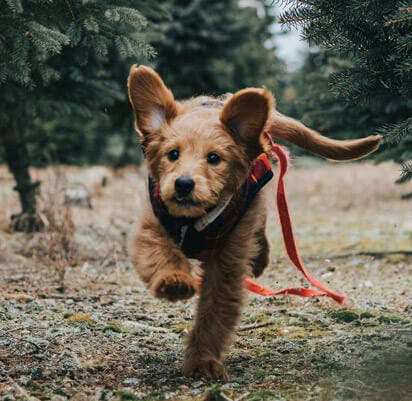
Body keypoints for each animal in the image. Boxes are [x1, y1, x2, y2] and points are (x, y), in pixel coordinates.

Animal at [127, 65, 382, 378]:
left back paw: (260, 259)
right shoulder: (153, 224)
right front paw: (174, 281)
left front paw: (202, 361)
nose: (184, 184)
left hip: (253, 205)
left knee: (260, 227)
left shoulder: (228, 261)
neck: (196, 219)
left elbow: (214, 313)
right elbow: (160, 254)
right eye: (172, 154)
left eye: (214, 158)